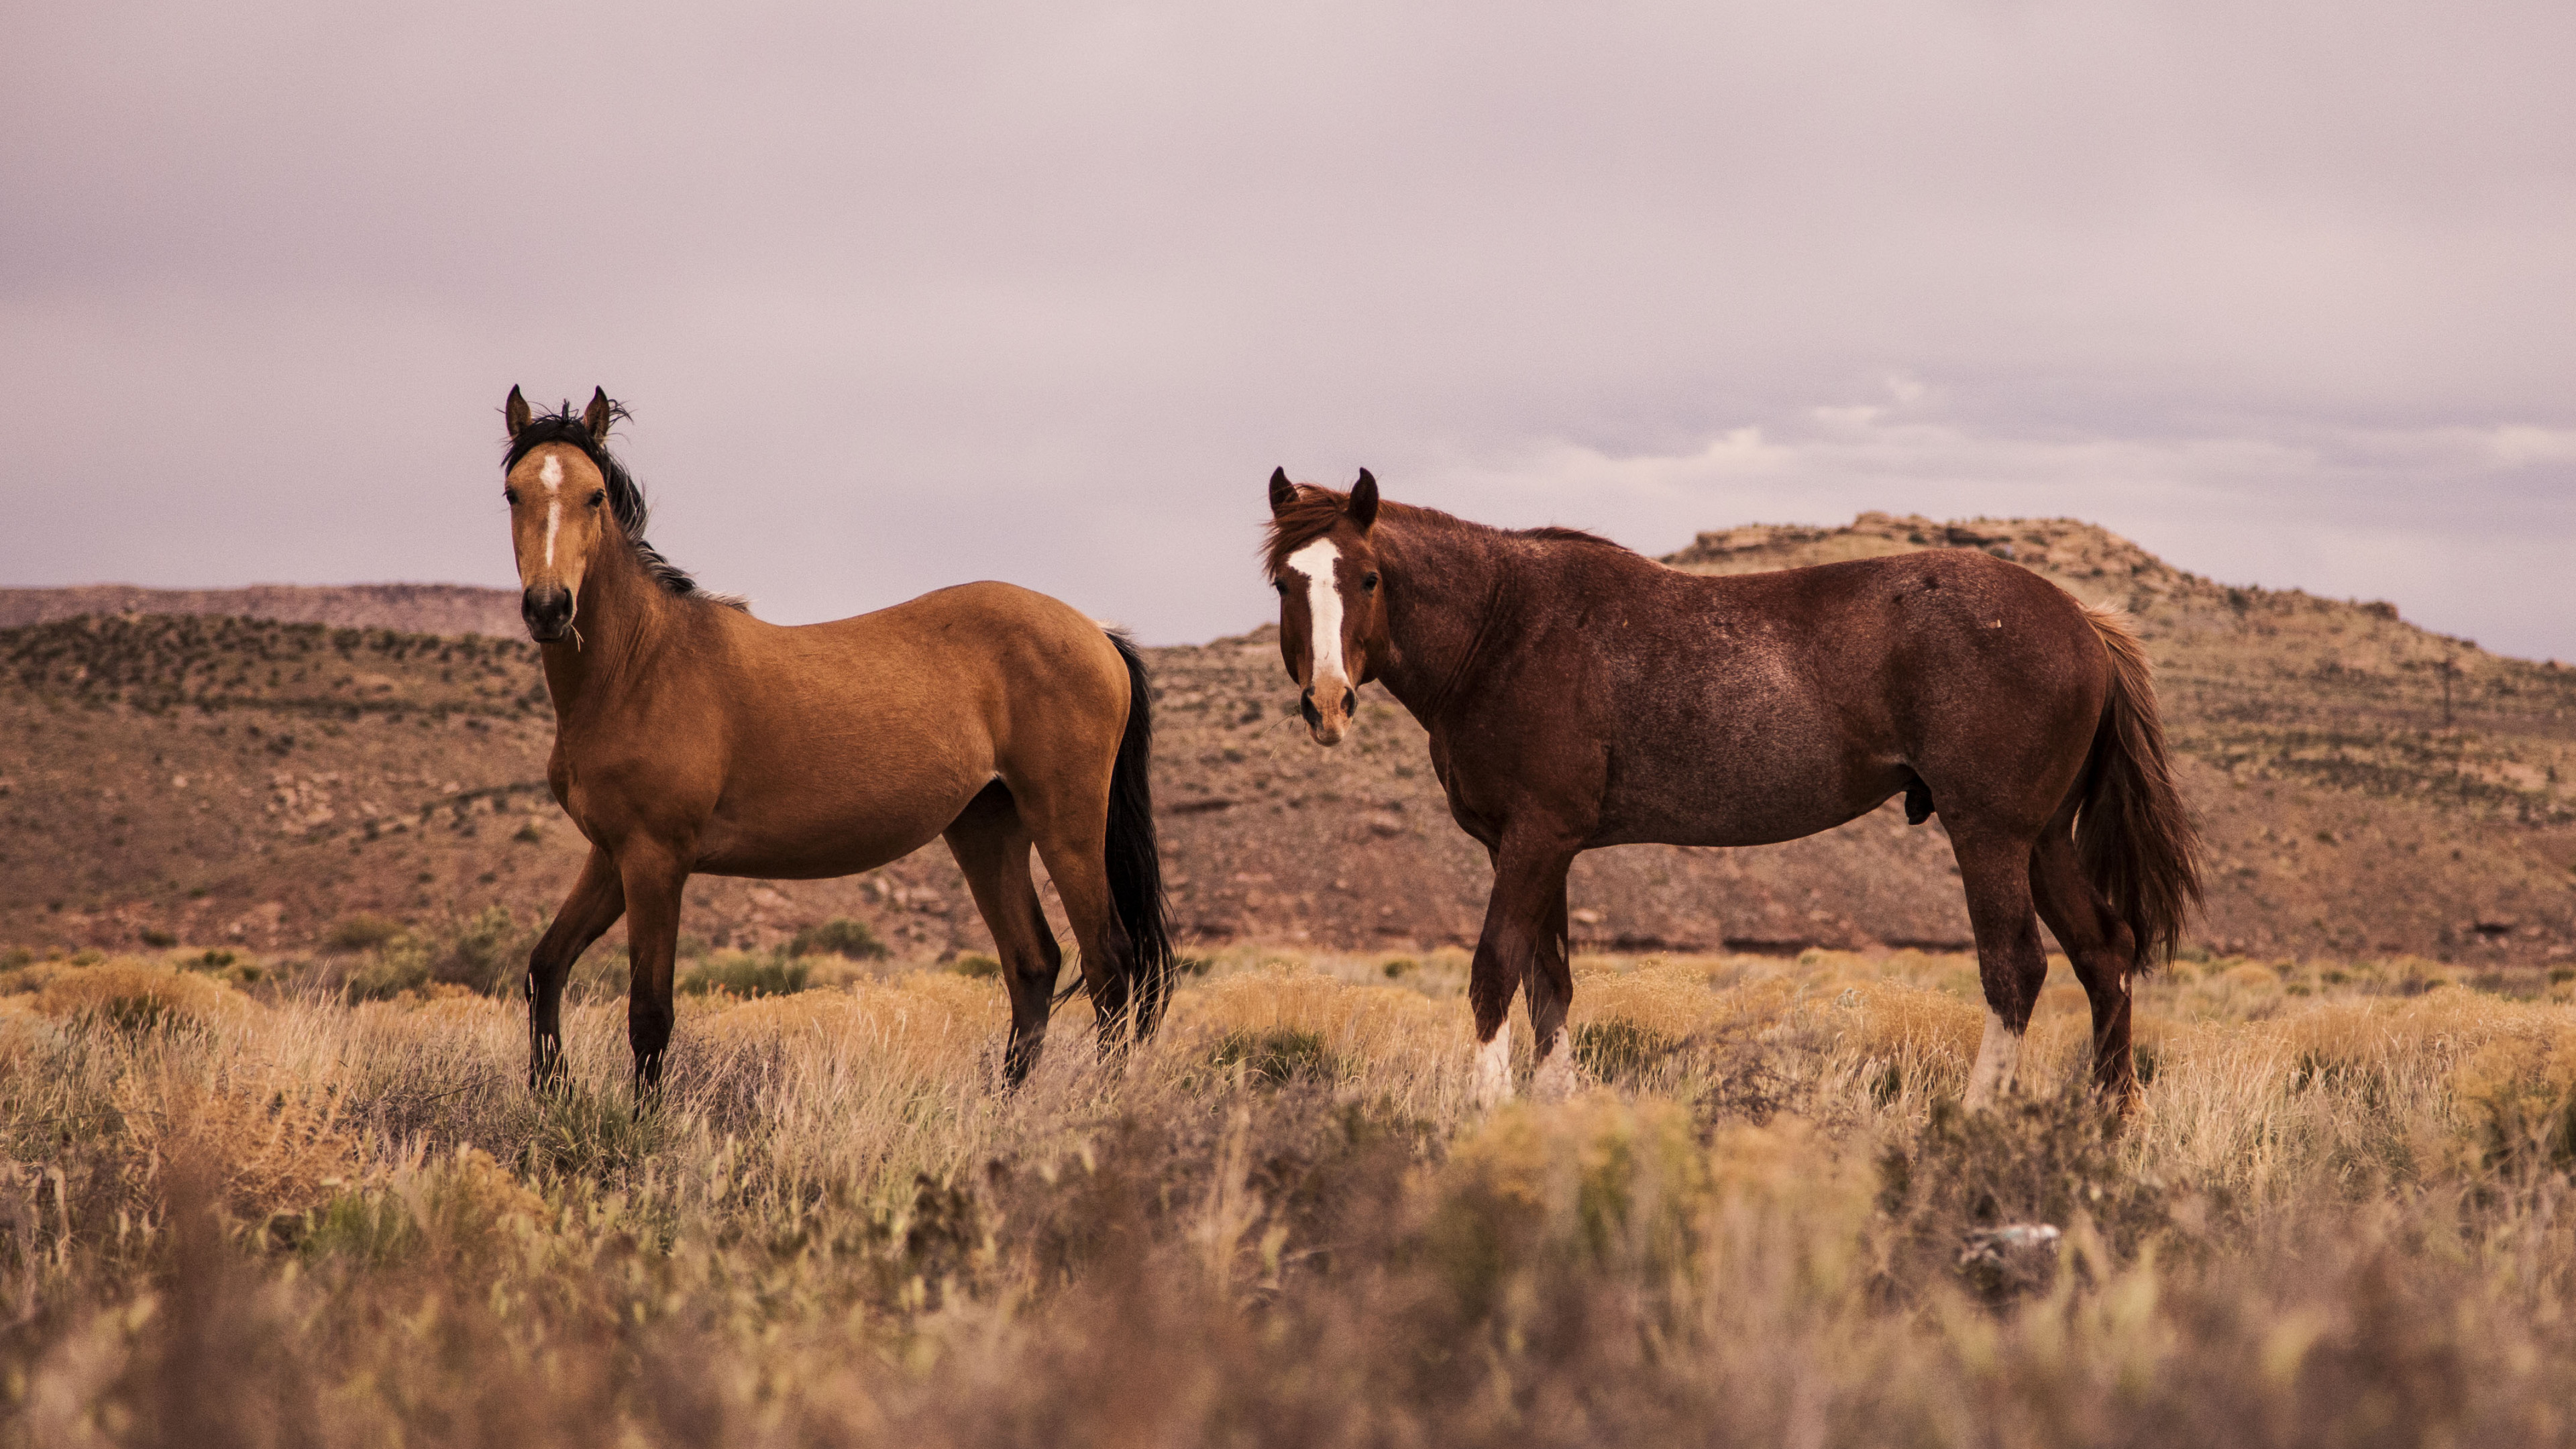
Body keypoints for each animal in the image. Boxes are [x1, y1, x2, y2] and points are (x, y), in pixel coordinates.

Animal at [497, 387, 1173, 1094]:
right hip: (986, 827)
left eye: (595, 495)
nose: (550, 608)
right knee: (1033, 963)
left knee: (1110, 966)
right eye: (513, 493)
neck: (640, 665)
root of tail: (1097, 633)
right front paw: (552, 1091)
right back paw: (1005, 1105)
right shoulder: (612, 855)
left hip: (1066, 825)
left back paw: (1100, 1102)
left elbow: (650, 1015)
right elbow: (544, 969)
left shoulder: (655, 860)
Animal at [1261, 468, 2202, 1109]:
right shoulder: (1539, 849)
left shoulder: (1534, 841)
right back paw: (2105, 1124)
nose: (1328, 703)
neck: (1504, 628)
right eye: (1284, 582)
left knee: (2016, 970)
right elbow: (1549, 985)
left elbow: (1495, 971)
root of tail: (2082, 621)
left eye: (1368, 578)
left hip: (1992, 836)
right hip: (2042, 841)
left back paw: (1977, 1121)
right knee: (2105, 954)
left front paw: (1489, 1113)